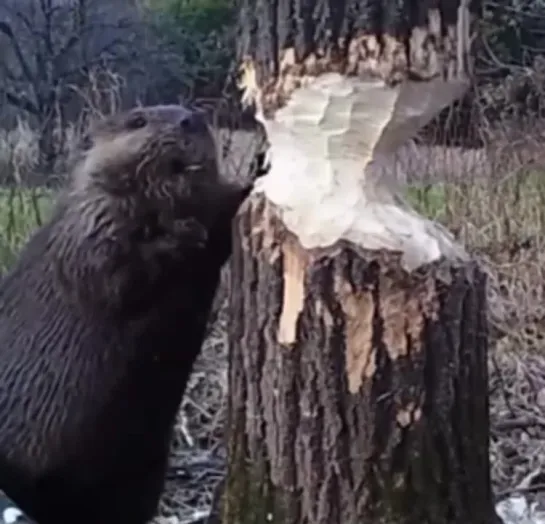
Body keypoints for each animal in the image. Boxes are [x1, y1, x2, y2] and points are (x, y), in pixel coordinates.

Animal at [0, 104, 254, 524]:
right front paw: (183, 232)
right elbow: (120, 274)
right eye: (137, 120)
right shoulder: (88, 226)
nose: (191, 119)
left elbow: (221, 217)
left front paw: (262, 169)